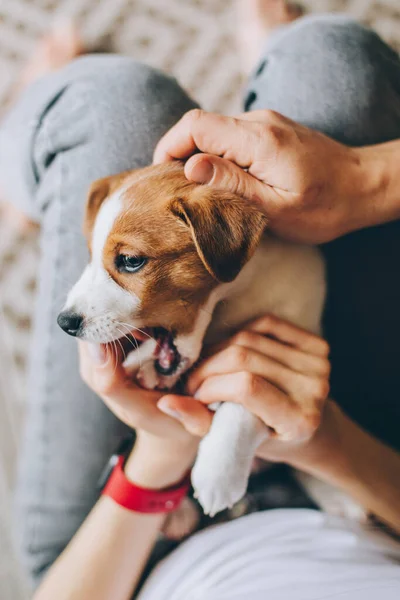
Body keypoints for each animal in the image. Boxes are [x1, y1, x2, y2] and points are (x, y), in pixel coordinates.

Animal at [58, 162, 362, 516]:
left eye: (131, 260)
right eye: (91, 255)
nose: (64, 322)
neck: (238, 296)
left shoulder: (283, 346)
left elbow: (243, 406)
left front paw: (219, 472)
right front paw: (145, 362)